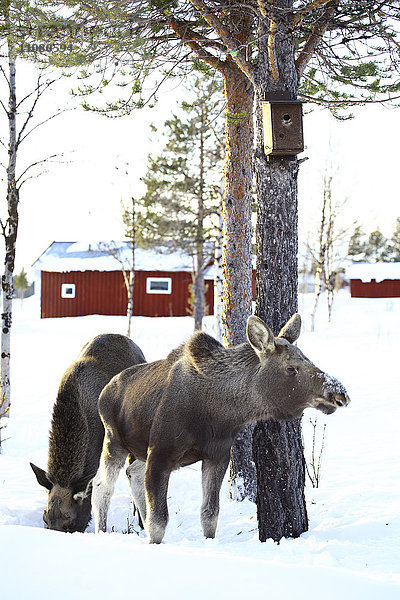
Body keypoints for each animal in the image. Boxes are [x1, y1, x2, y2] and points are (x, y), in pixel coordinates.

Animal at [92, 314, 348, 544]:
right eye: (291, 368)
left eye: (309, 359)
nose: (340, 393)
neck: (219, 412)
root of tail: (104, 392)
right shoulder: (160, 454)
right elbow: (159, 521)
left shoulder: (217, 455)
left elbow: (210, 514)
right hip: (114, 441)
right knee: (101, 486)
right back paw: (101, 532)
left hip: (139, 451)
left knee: (131, 473)